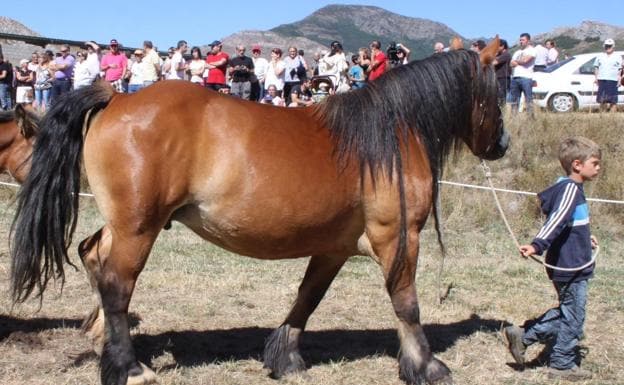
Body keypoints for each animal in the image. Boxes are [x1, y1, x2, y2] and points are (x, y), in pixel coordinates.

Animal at [11, 38, 508, 384]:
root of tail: (118, 97)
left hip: (125, 224)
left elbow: (308, 298)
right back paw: (129, 367)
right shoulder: (398, 236)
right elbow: (407, 305)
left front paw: (285, 357)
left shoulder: (334, 247)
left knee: (93, 255)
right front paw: (426, 365)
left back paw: (104, 345)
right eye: (496, 90)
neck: (389, 134)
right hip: (138, 229)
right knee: (117, 284)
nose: (501, 144)